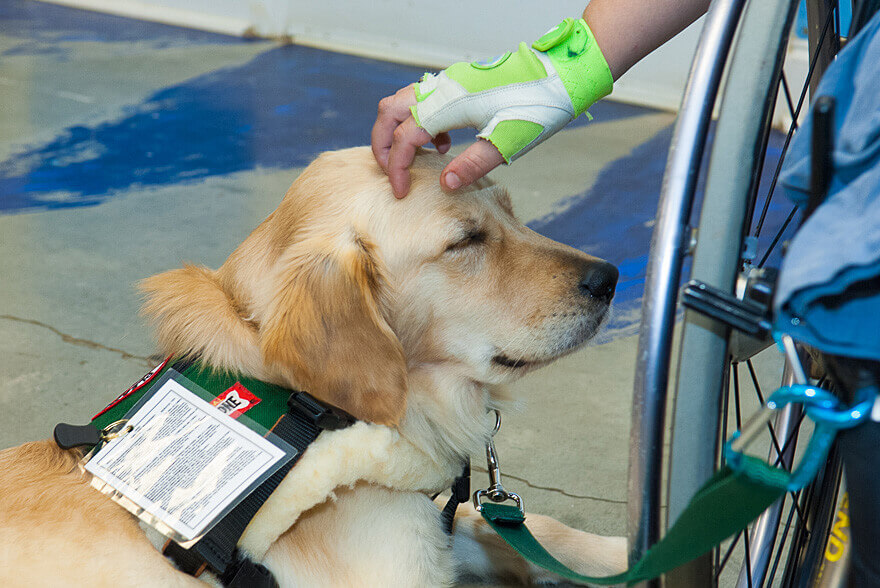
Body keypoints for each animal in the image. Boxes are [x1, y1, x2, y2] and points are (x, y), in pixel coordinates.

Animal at [1, 146, 632, 584]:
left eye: (510, 213)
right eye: (466, 241)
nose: (609, 278)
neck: (316, 409)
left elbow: (533, 528)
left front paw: (624, 553)